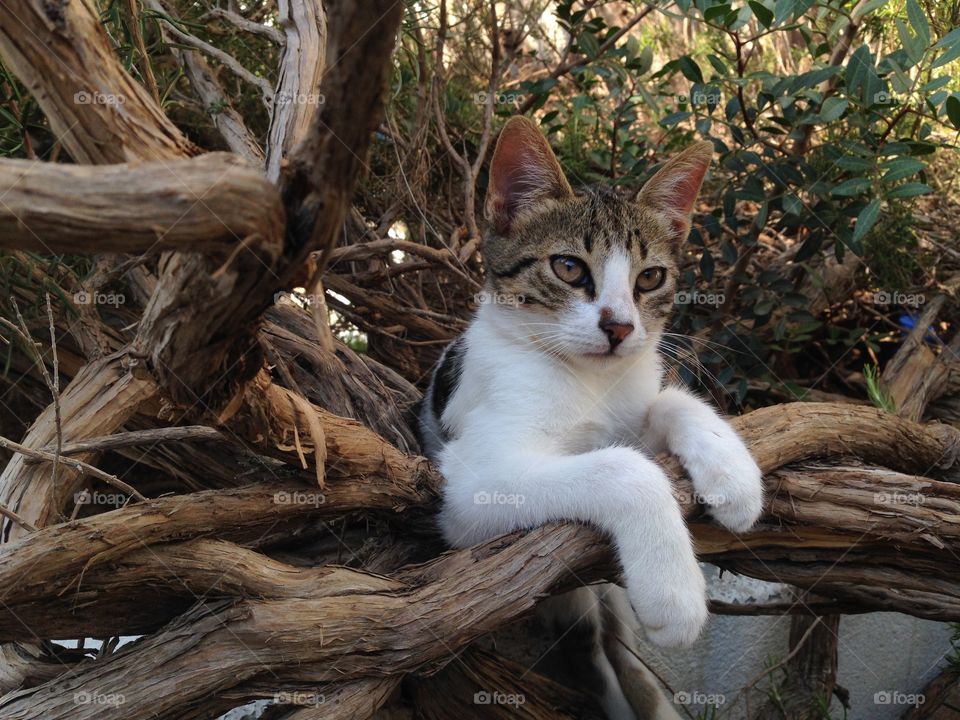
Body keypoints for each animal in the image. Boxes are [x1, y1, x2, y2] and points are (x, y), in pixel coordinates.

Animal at [416, 115, 760, 716]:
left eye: (650, 278)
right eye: (568, 267)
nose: (620, 327)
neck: (590, 381)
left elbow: (670, 401)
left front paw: (734, 476)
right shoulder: (472, 486)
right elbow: (624, 467)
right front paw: (673, 593)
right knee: (589, 644)